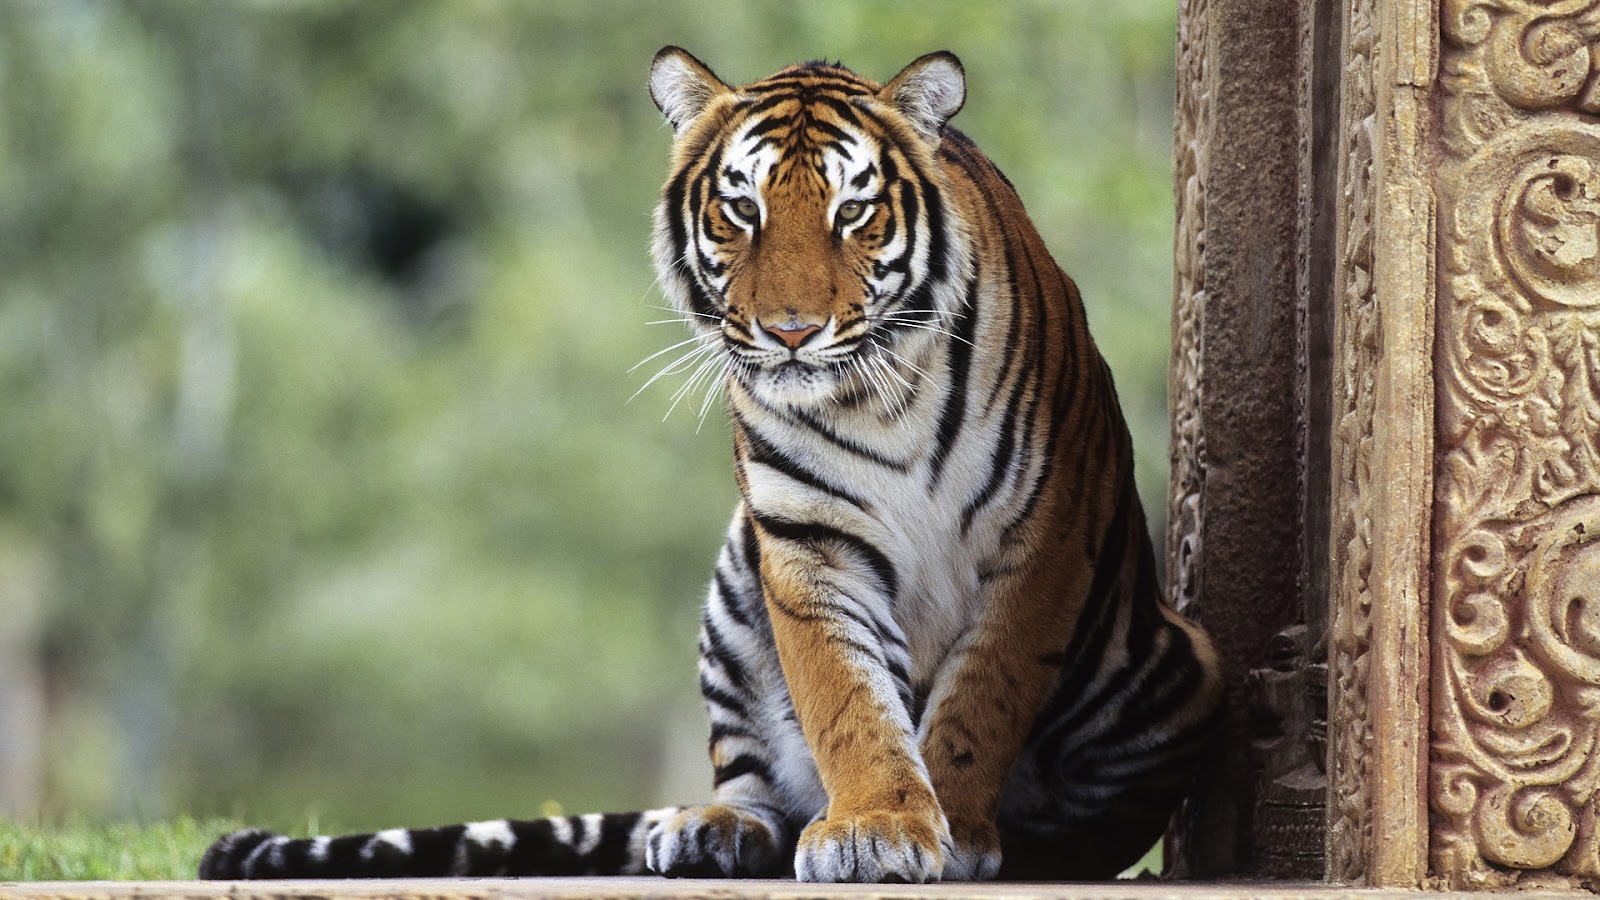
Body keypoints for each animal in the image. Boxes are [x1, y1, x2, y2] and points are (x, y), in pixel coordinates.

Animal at [200, 45, 1222, 877]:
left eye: (854, 211)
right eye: (741, 208)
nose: (791, 331)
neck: (880, 396)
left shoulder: (1042, 537)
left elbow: (983, 698)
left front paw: (953, 829)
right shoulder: (806, 543)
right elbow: (848, 698)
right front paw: (880, 825)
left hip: (1176, 667)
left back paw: (1037, 846)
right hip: (736, 581)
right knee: (757, 781)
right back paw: (713, 831)